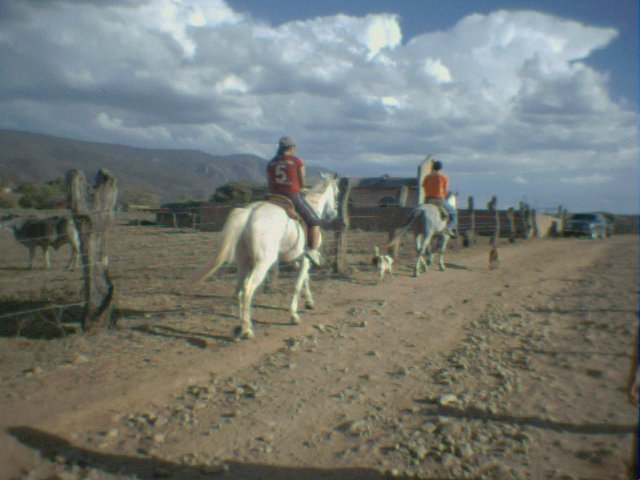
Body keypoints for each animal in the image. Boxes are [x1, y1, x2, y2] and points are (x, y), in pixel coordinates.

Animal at [189, 174, 340, 340]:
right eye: (337, 193)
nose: (334, 214)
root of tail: (249, 213)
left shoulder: (298, 259)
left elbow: (304, 278)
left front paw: (309, 302)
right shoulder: (306, 258)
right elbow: (298, 284)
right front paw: (294, 315)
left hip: (243, 262)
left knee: (238, 289)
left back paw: (241, 325)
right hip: (262, 264)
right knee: (248, 288)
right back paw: (247, 330)